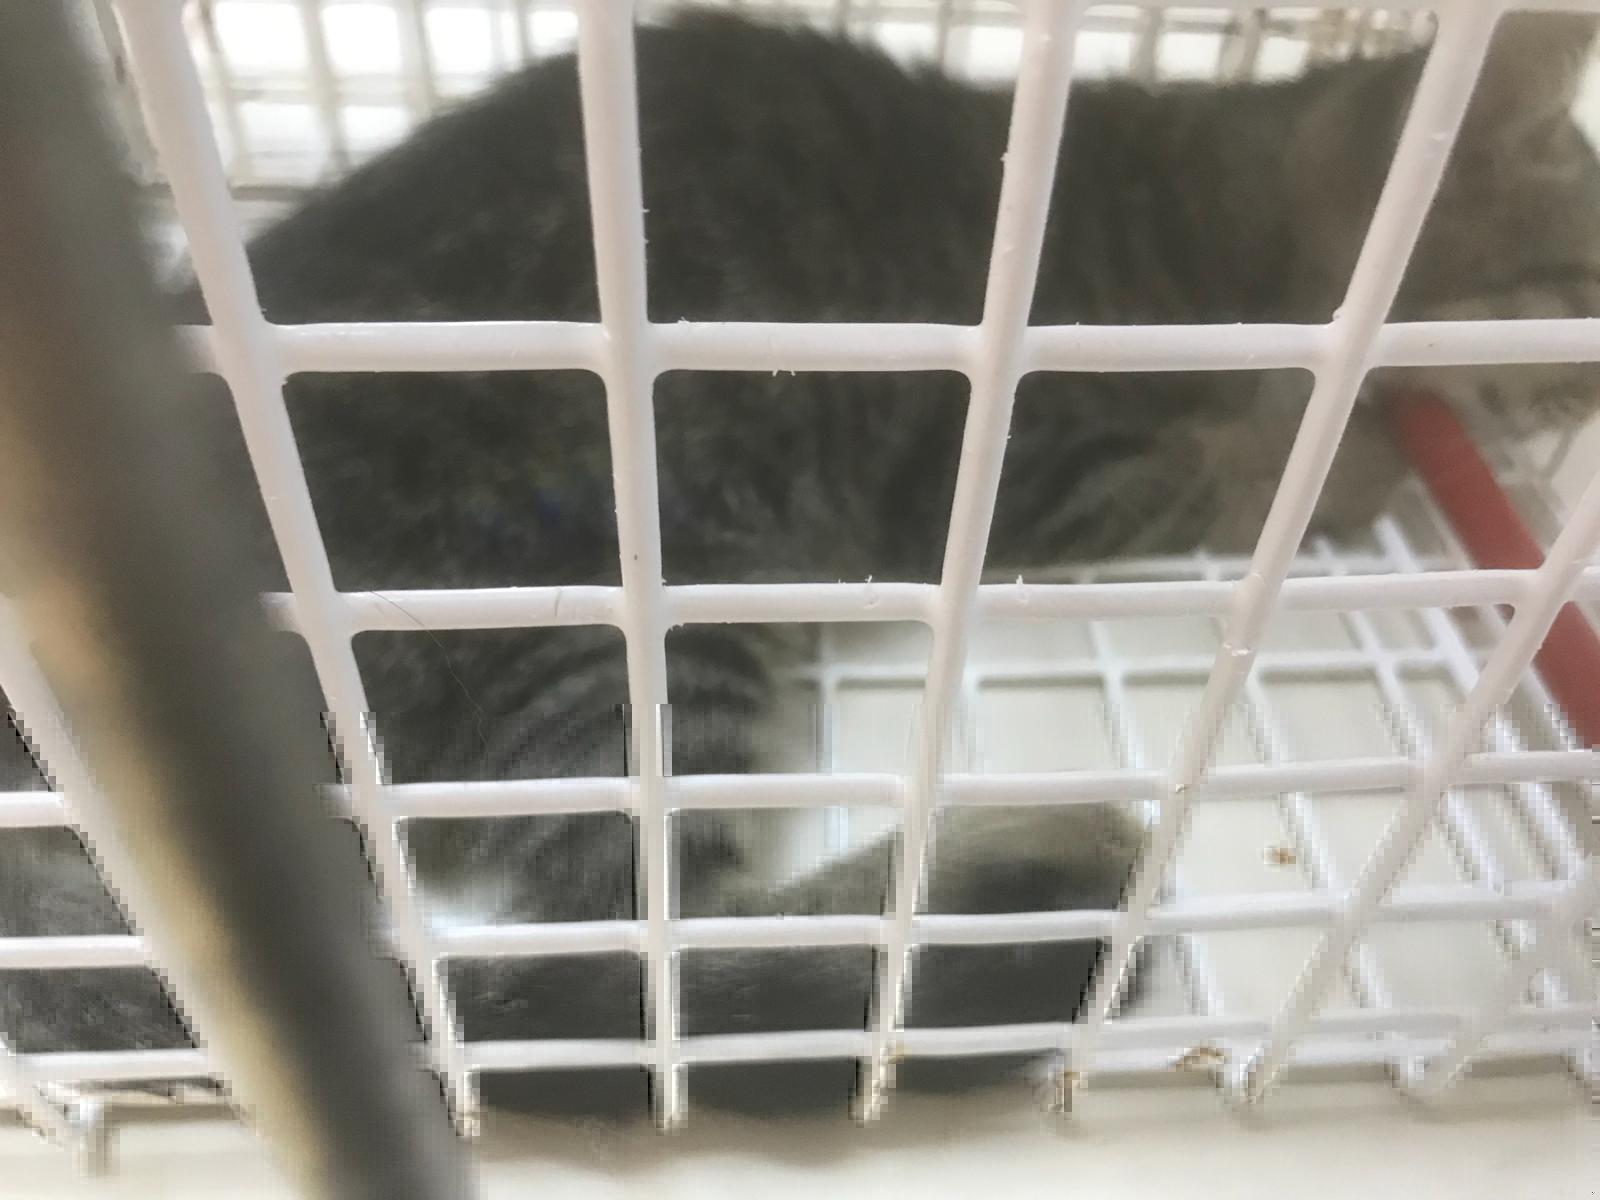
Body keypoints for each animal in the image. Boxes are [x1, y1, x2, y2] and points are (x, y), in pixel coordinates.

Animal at [3, 7, 1599, 1121]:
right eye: (1581, 275)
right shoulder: (1023, 466)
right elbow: (1265, 456)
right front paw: (1365, 445)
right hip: (622, 605)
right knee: (647, 958)